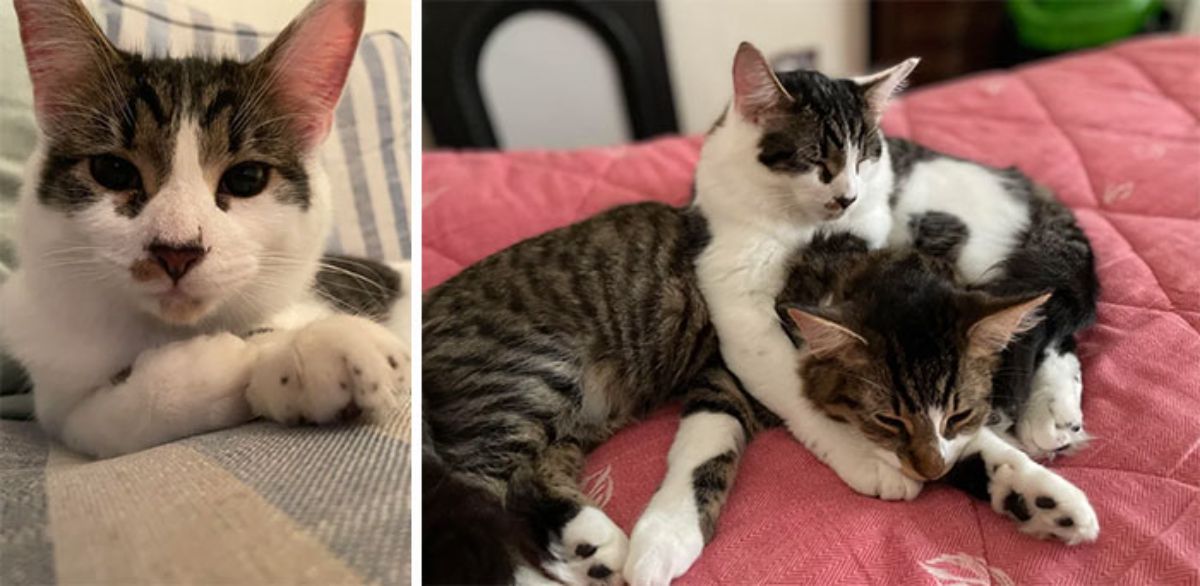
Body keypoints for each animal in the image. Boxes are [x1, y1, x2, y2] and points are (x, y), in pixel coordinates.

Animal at [0, 0, 410, 458]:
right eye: (113, 170)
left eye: (246, 178)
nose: (176, 251)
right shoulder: (52, 376)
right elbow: (93, 420)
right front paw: (235, 358)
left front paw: (305, 346)